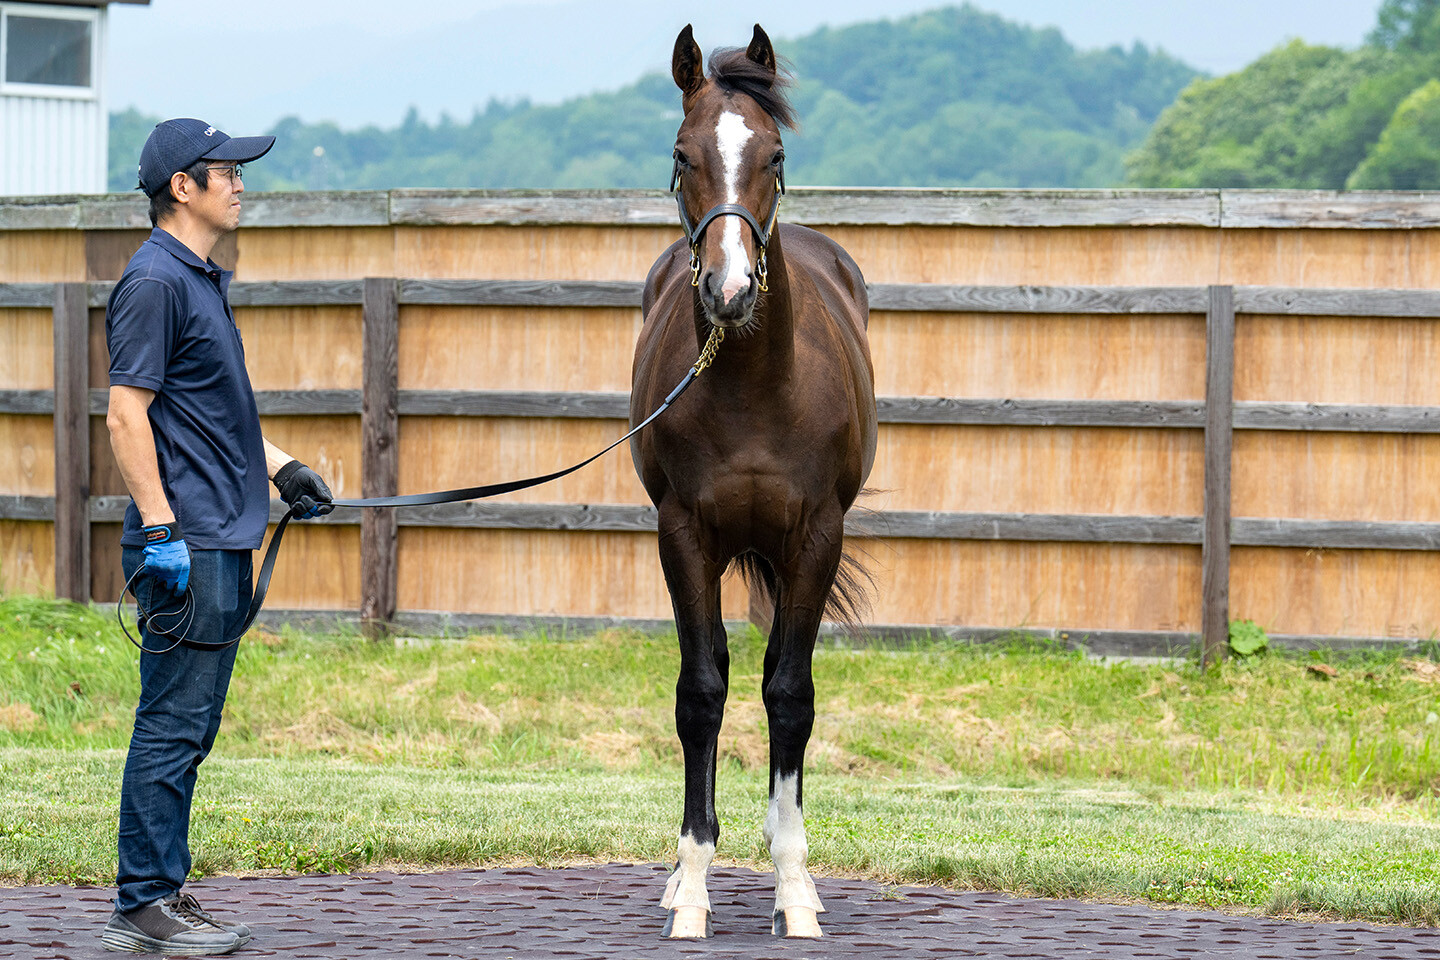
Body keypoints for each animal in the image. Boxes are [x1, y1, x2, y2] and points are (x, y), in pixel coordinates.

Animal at [630, 24, 875, 944]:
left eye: (773, 155)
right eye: (682, 154)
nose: (729, 289)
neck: (753, 386)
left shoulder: (816, 538)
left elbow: (790, 696)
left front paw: (795, 891)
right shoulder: (683, 535)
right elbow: (701, 693)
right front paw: (693, 889)